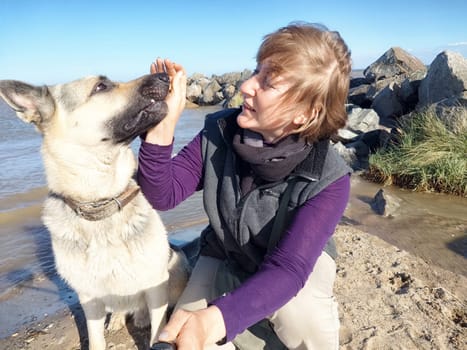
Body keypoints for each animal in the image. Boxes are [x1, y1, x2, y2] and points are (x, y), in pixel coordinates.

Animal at [0, 74, 190, 350]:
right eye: (101, 86)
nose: (164, 76)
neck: (102, 203)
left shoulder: (156, 286)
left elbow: (158, 329)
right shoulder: (88, 297)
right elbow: (95, 337)